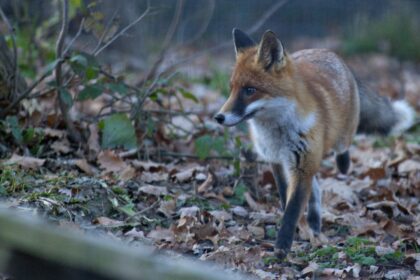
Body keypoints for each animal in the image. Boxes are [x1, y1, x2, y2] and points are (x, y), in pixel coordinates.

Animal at [215, 28, 416, 258]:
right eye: (231, 89)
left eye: (249, 90)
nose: (219, 117)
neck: (278, 132)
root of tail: (329, 52)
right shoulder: (278, 161)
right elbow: (286, 199)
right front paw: (296, 231)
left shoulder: (302, 163)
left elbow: (293, 208)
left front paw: (282, 246)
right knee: (316, 187)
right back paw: (313, 221)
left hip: (340, 137)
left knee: (341, 151)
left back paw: (342, 165)